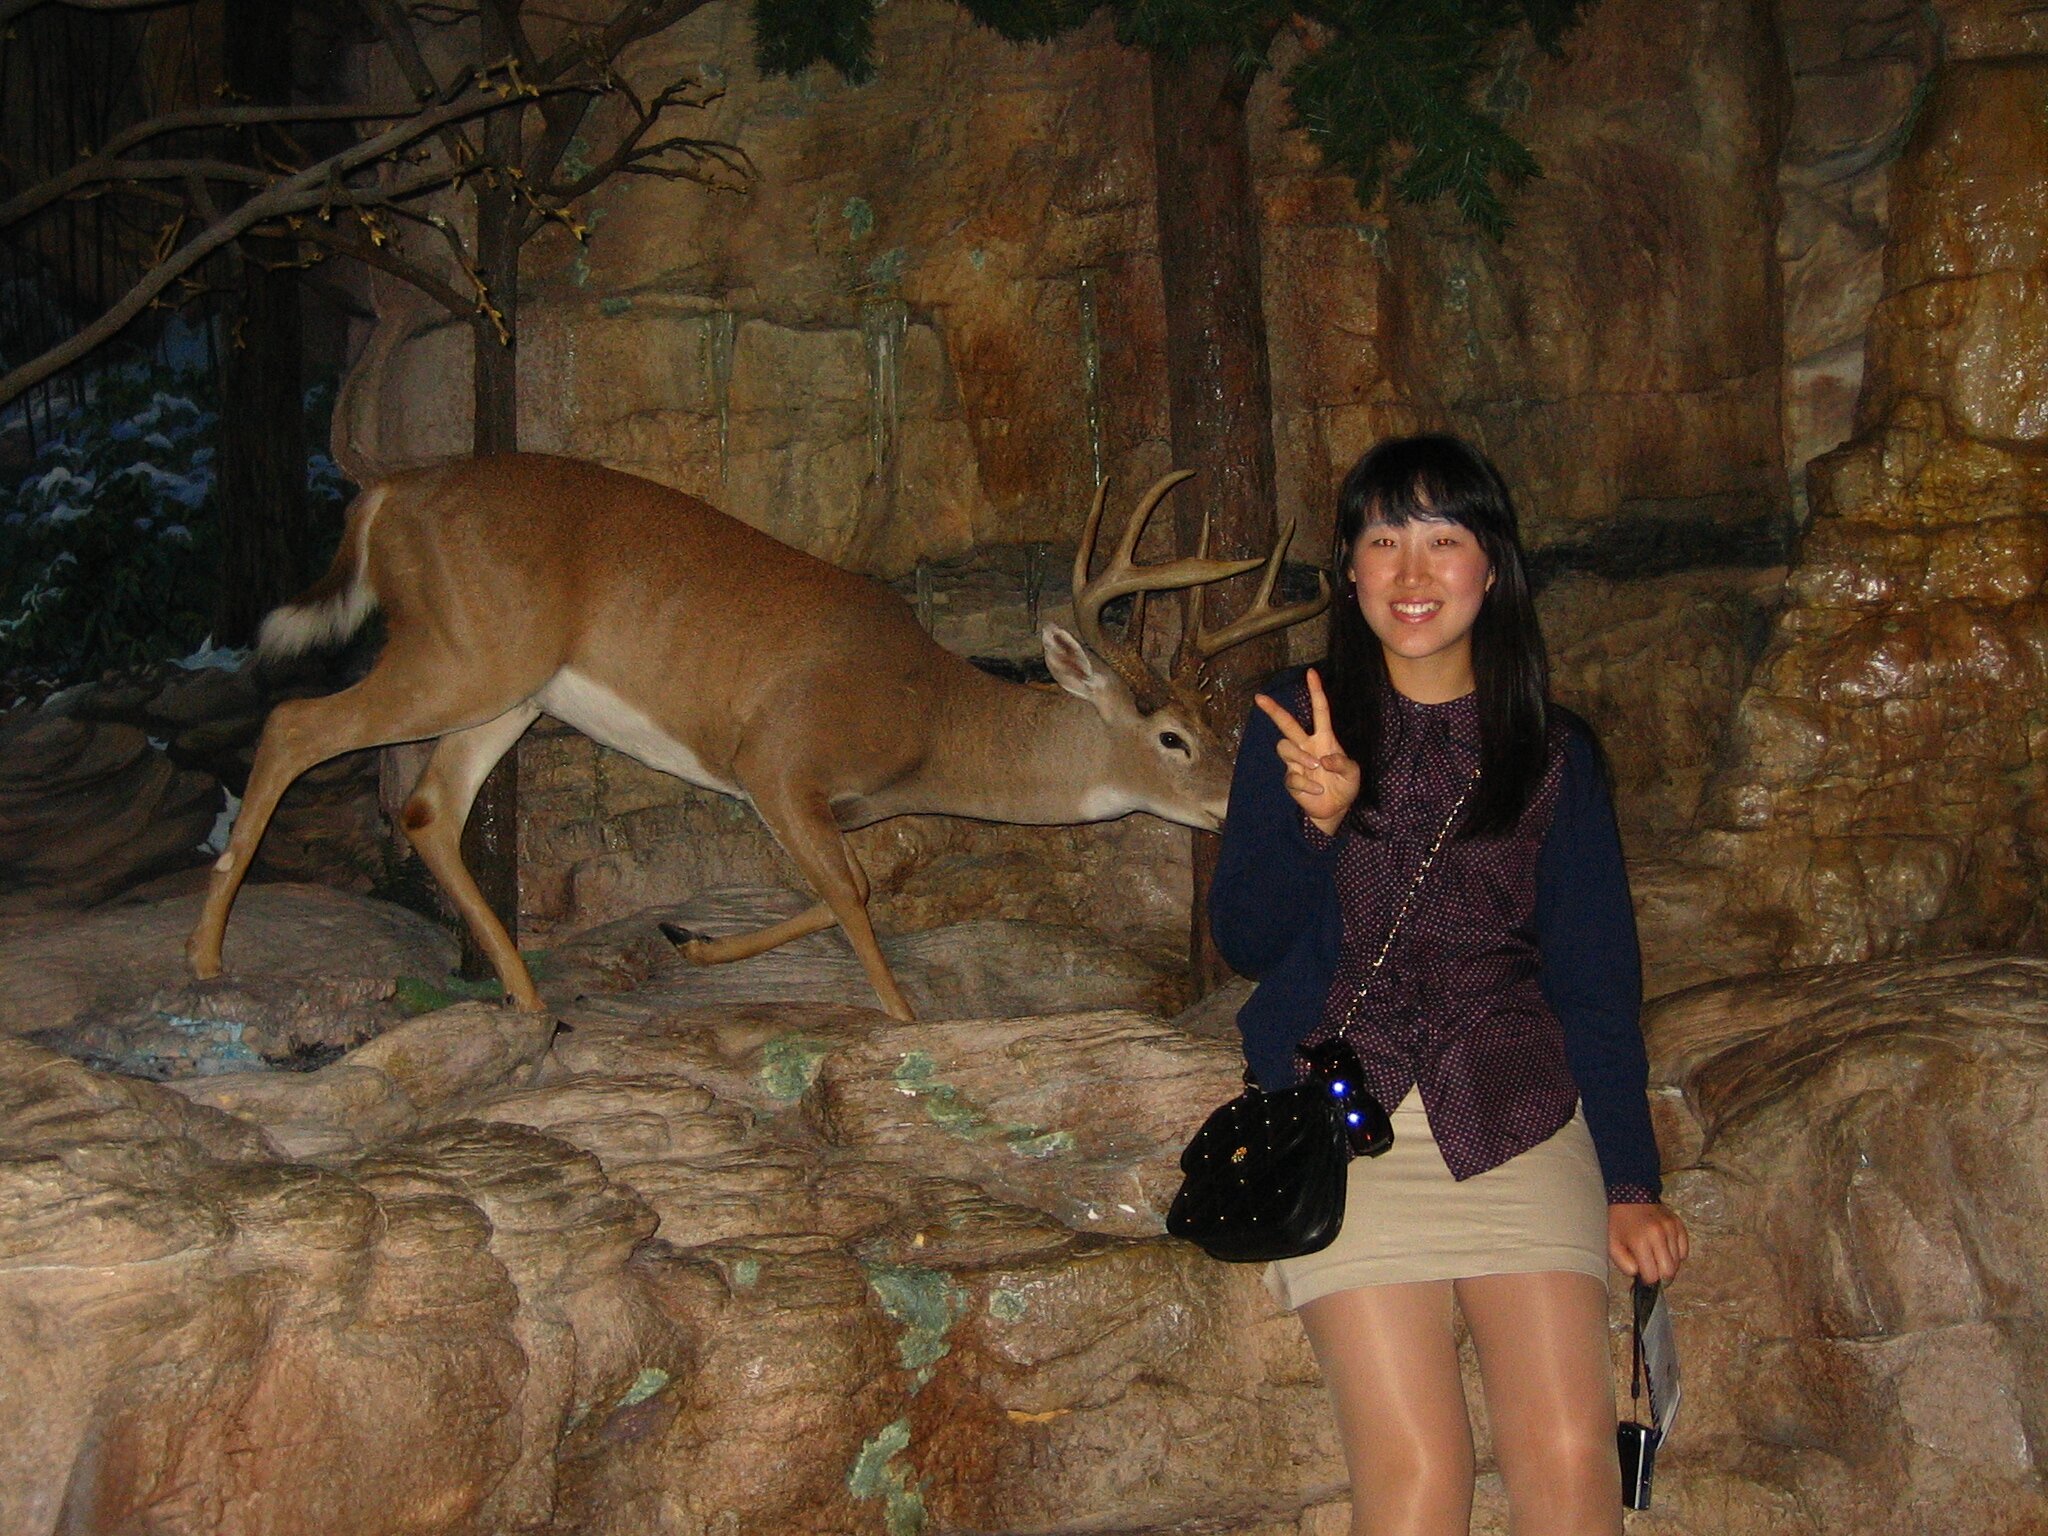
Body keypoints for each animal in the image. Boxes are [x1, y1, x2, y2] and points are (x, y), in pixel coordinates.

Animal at [186, 453, 1327, 1020]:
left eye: (1220, 722)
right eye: (1173, 737)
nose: (1237, 797)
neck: (930, 719)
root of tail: (384, 495)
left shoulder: (823, 802)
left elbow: (837, 893)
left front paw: (693, 943)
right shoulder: (777, 756)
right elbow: (855, 899)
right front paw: (904, 1023)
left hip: (506, 682)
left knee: (427, 806)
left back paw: (527, 1000)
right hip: (467, 650)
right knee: (296, 721)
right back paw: (204, 956)